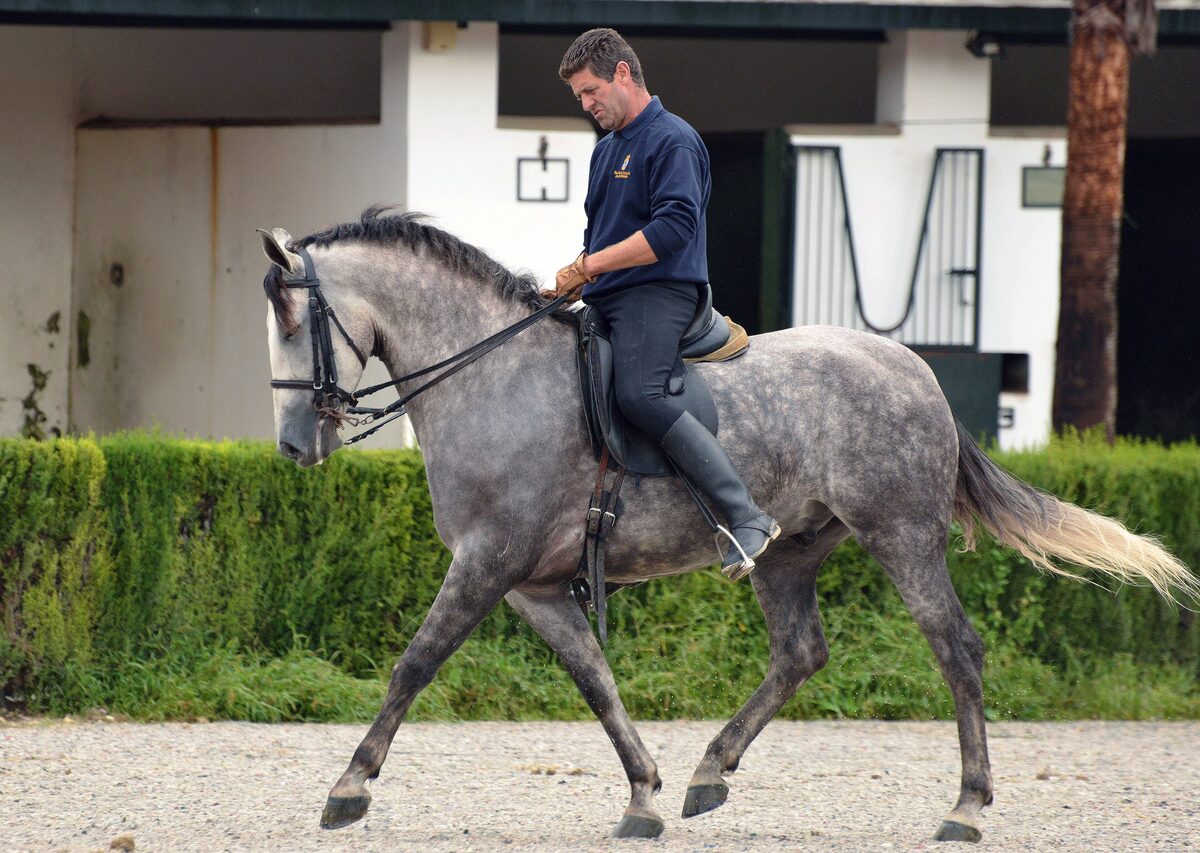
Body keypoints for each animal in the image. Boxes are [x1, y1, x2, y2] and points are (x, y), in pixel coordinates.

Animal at [259, 206, 1197, 844]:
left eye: (295, 319)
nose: (293, 446)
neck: (491, 374)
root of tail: (914, 367)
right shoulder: (532, 585)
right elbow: (596, 680)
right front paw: (643, 793)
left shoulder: (487, 562)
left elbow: (414, 664)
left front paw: (349, 786)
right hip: (791, 552)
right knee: (800, 652)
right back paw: (710, 770)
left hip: (901, 536)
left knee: (956, 648)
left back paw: (966, 806)